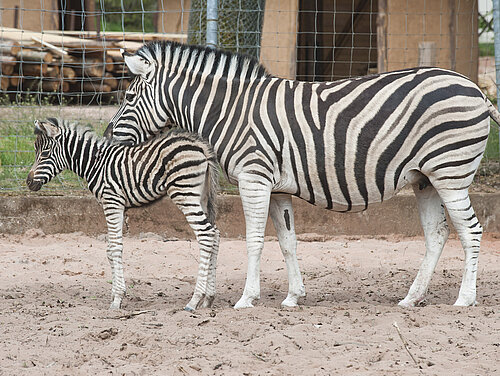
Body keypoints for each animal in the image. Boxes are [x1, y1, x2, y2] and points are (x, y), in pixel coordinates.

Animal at [27, 118, 219, 312]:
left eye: (45, 153)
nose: (28, 182)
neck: (96, 164)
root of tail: (200, 146)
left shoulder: (112, 202)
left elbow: (115, 248)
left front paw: (117, 299)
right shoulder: (117, 206)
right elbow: (109, 250)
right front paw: (115, 296)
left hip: (184, 193)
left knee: (205, 234)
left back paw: (194, 300)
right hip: (201, 196)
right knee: (215, 233)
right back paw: (209, 298)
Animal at [103, 41, 498, 310]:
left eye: (130, 96)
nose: (107, 134)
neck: (231, 111)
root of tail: (476, 89)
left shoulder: (254, 178)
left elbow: (253, 240)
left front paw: (246, 298)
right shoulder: (277, 188)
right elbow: (287, 242)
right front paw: (294, 296)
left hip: (451, 174)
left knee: (471, 231)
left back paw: (465, 298)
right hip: (425, 179)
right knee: (437, 234)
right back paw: (411, 298)